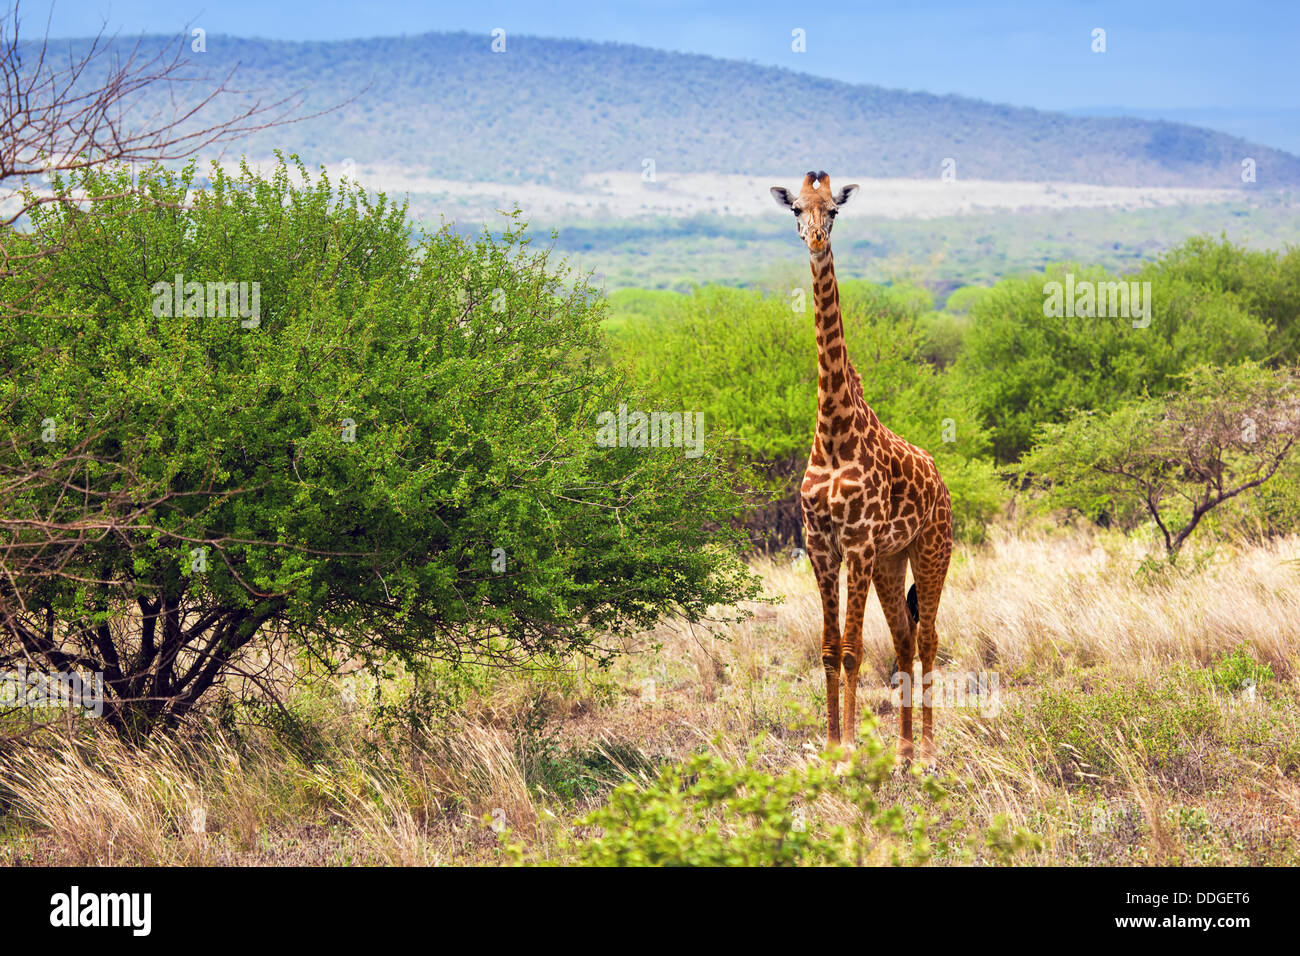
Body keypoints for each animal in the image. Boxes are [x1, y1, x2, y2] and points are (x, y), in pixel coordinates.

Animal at [769, 171, 956, 770]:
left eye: (834, 211)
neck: (833, 431)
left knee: (929, 638)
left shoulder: (857, 543)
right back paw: (901, 751)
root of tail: (941, 480)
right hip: (892, 562)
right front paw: (830, 746)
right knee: (903, 639)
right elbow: (830, 648)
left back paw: (929, 752)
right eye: (797, 209)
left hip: (930, 549)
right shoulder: (821, 544)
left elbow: (852, 650)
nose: (814, 239)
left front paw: (850, 748)